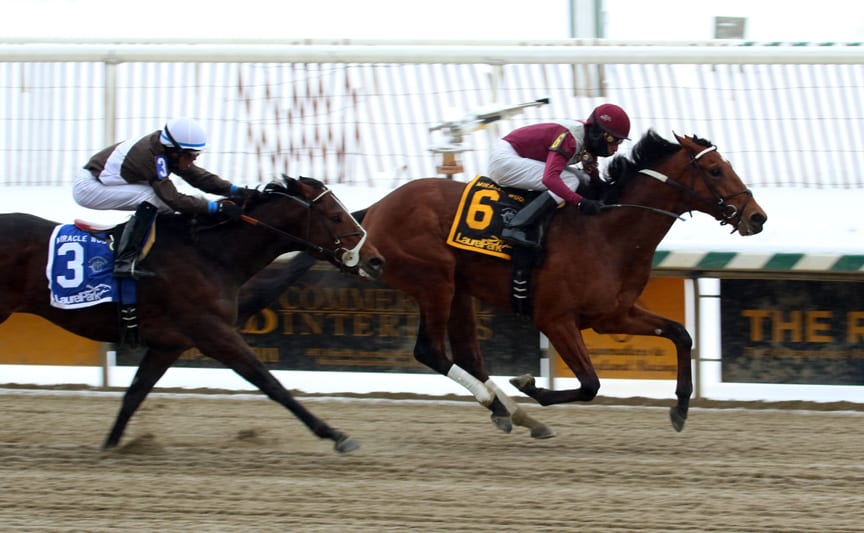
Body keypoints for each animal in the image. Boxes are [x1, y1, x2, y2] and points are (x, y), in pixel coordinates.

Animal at [0, 177, 384, 450]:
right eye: (335, 216)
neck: (210, 255)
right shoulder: (213, 333)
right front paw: (336, 435)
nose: (375, 260)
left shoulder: (168, 344)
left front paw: (110, 446)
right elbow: (271, 383)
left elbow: (134, 394)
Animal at [245, 131, 768, 438]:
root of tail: (371, 212)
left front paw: (680, 408)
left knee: (467, 355)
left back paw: (509, 412)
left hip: (459, 290)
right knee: (431, 351)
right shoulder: (555, 318)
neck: (606, 229)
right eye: (716, 170)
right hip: (435, 280)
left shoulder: (613, 314)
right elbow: (591, 384)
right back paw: (510, 406)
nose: (757, 218)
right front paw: (531, 385)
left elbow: (681, 333)